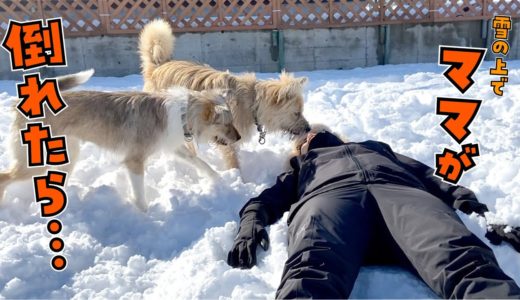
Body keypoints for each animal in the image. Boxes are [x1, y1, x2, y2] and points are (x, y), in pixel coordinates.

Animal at [1, 70, 241, 211]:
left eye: (232, 121)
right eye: (226, 124)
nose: (239, 138)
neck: (182, 113)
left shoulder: (173, 147)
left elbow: (201, 162)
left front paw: (219, 180)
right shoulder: (134, 161)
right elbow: (139, 195)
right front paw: (146, 216)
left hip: (67, 156)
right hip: (33, 163)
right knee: (4, 177)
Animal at [138, 19, 310, 171]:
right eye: (296, 113)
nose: (308, 129)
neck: (252, 102)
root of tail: (158, 67)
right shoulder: (226, 137)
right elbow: (233, 161)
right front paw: (237, 178)